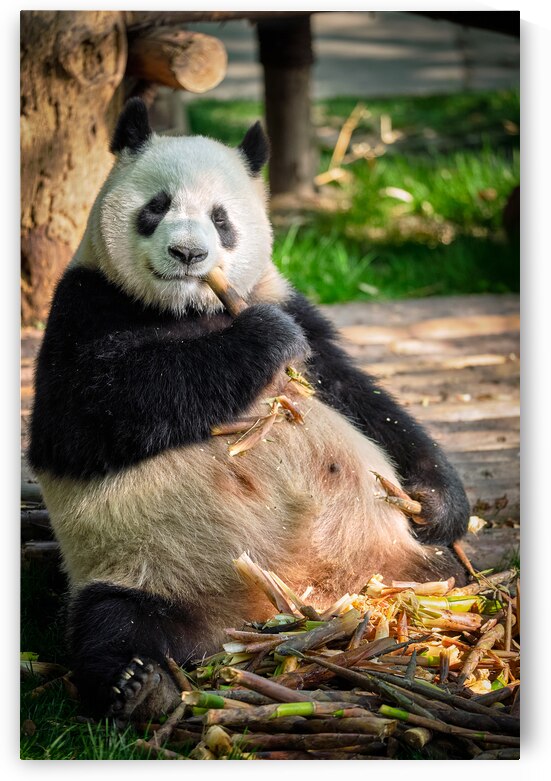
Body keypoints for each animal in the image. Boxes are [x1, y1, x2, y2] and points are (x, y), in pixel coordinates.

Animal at [28, 97, 470, 721]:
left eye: (220, 219)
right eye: (156, 206)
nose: (188, 254)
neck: (187, 309)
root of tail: (284, 612)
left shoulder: (287, 301)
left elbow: (360, 396)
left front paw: (435, 503)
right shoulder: (84, 305)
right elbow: (87, 411)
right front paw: (261, 339)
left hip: (402, 568)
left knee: (450, 576)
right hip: (141, 567)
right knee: (112, 622)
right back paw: (139, 684)